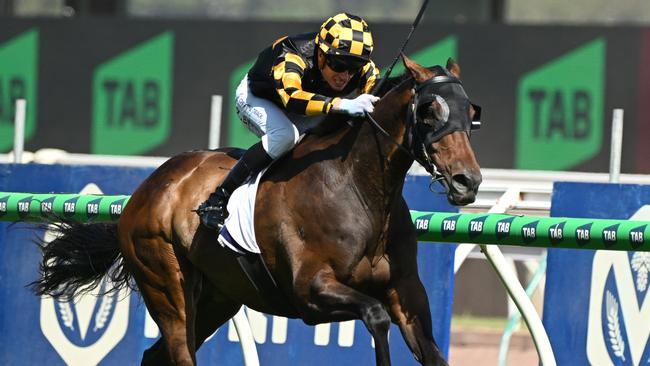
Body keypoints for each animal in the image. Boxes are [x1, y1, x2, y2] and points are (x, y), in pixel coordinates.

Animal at [33, 55, 478, 366]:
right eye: (430, 110)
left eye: (471, 113)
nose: (467, 181)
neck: (357, 189)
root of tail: (144, 190)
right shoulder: (309, 292)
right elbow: (376, 315)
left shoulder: (408, 296)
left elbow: (427, 348)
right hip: (166, 285)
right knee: (178, 351)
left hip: (218, 297)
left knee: (154, 355)